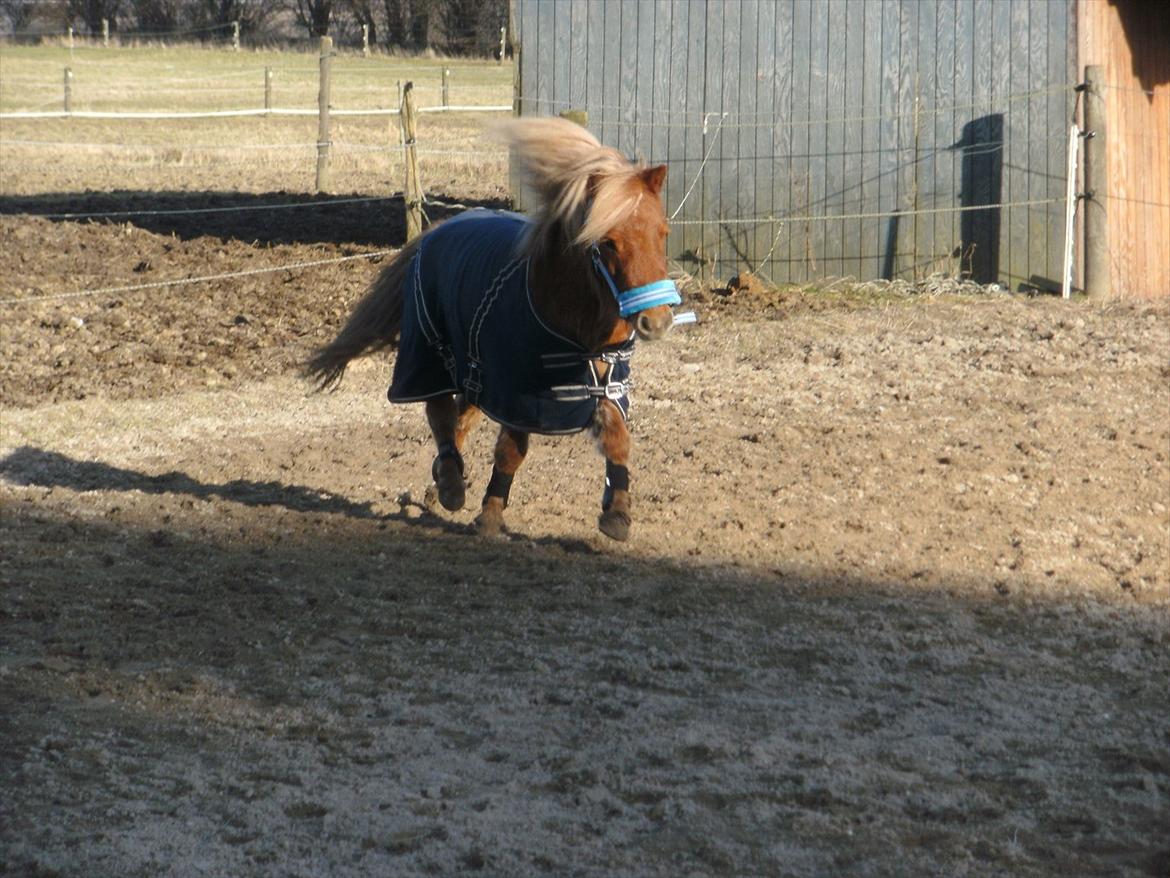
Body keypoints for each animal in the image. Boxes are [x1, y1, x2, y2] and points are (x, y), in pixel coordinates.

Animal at [305, 117, 684, 541]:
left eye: (663, 233)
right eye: (608, 242)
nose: (657, 320)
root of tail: (438, 229)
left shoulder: (608, 384)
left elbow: (619, 440)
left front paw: (617, 514)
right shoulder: (517, 395)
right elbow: (510, 452)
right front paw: (489, 516)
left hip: (475, 369)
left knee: (459, 417)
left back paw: (440, 483)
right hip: (430, 355)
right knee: (439, 411)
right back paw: (451, 486)